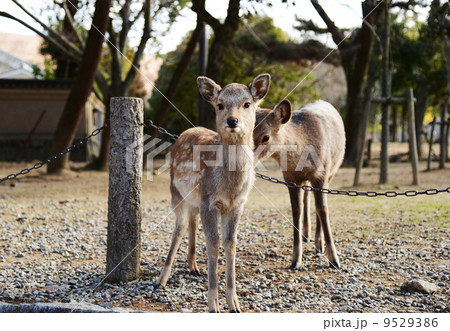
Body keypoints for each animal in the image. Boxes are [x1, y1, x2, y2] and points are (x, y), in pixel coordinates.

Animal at [157, 74, 270, 312]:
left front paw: (234, 303)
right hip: (176, 192)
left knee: (192, 220)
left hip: (194, 198)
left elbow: (230, 242)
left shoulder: (237, 205)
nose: (232, 121)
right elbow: (213, 242)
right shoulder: (209, 201)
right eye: (220, 105)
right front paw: (213, 304)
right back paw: (161, 279)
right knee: (179, 227)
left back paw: (193, 266)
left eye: (247, 104)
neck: (230, 186)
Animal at [253, 99, 344, 270]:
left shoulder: (321, 175)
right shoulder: (289, 178)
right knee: (307, 197)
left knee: (318, 204)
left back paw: (319, 244)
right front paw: (295, 260)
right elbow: (296, 210)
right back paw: (306, 235)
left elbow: (323, 210)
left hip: (332, 171)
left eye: (265, 137)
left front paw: (334, 260)